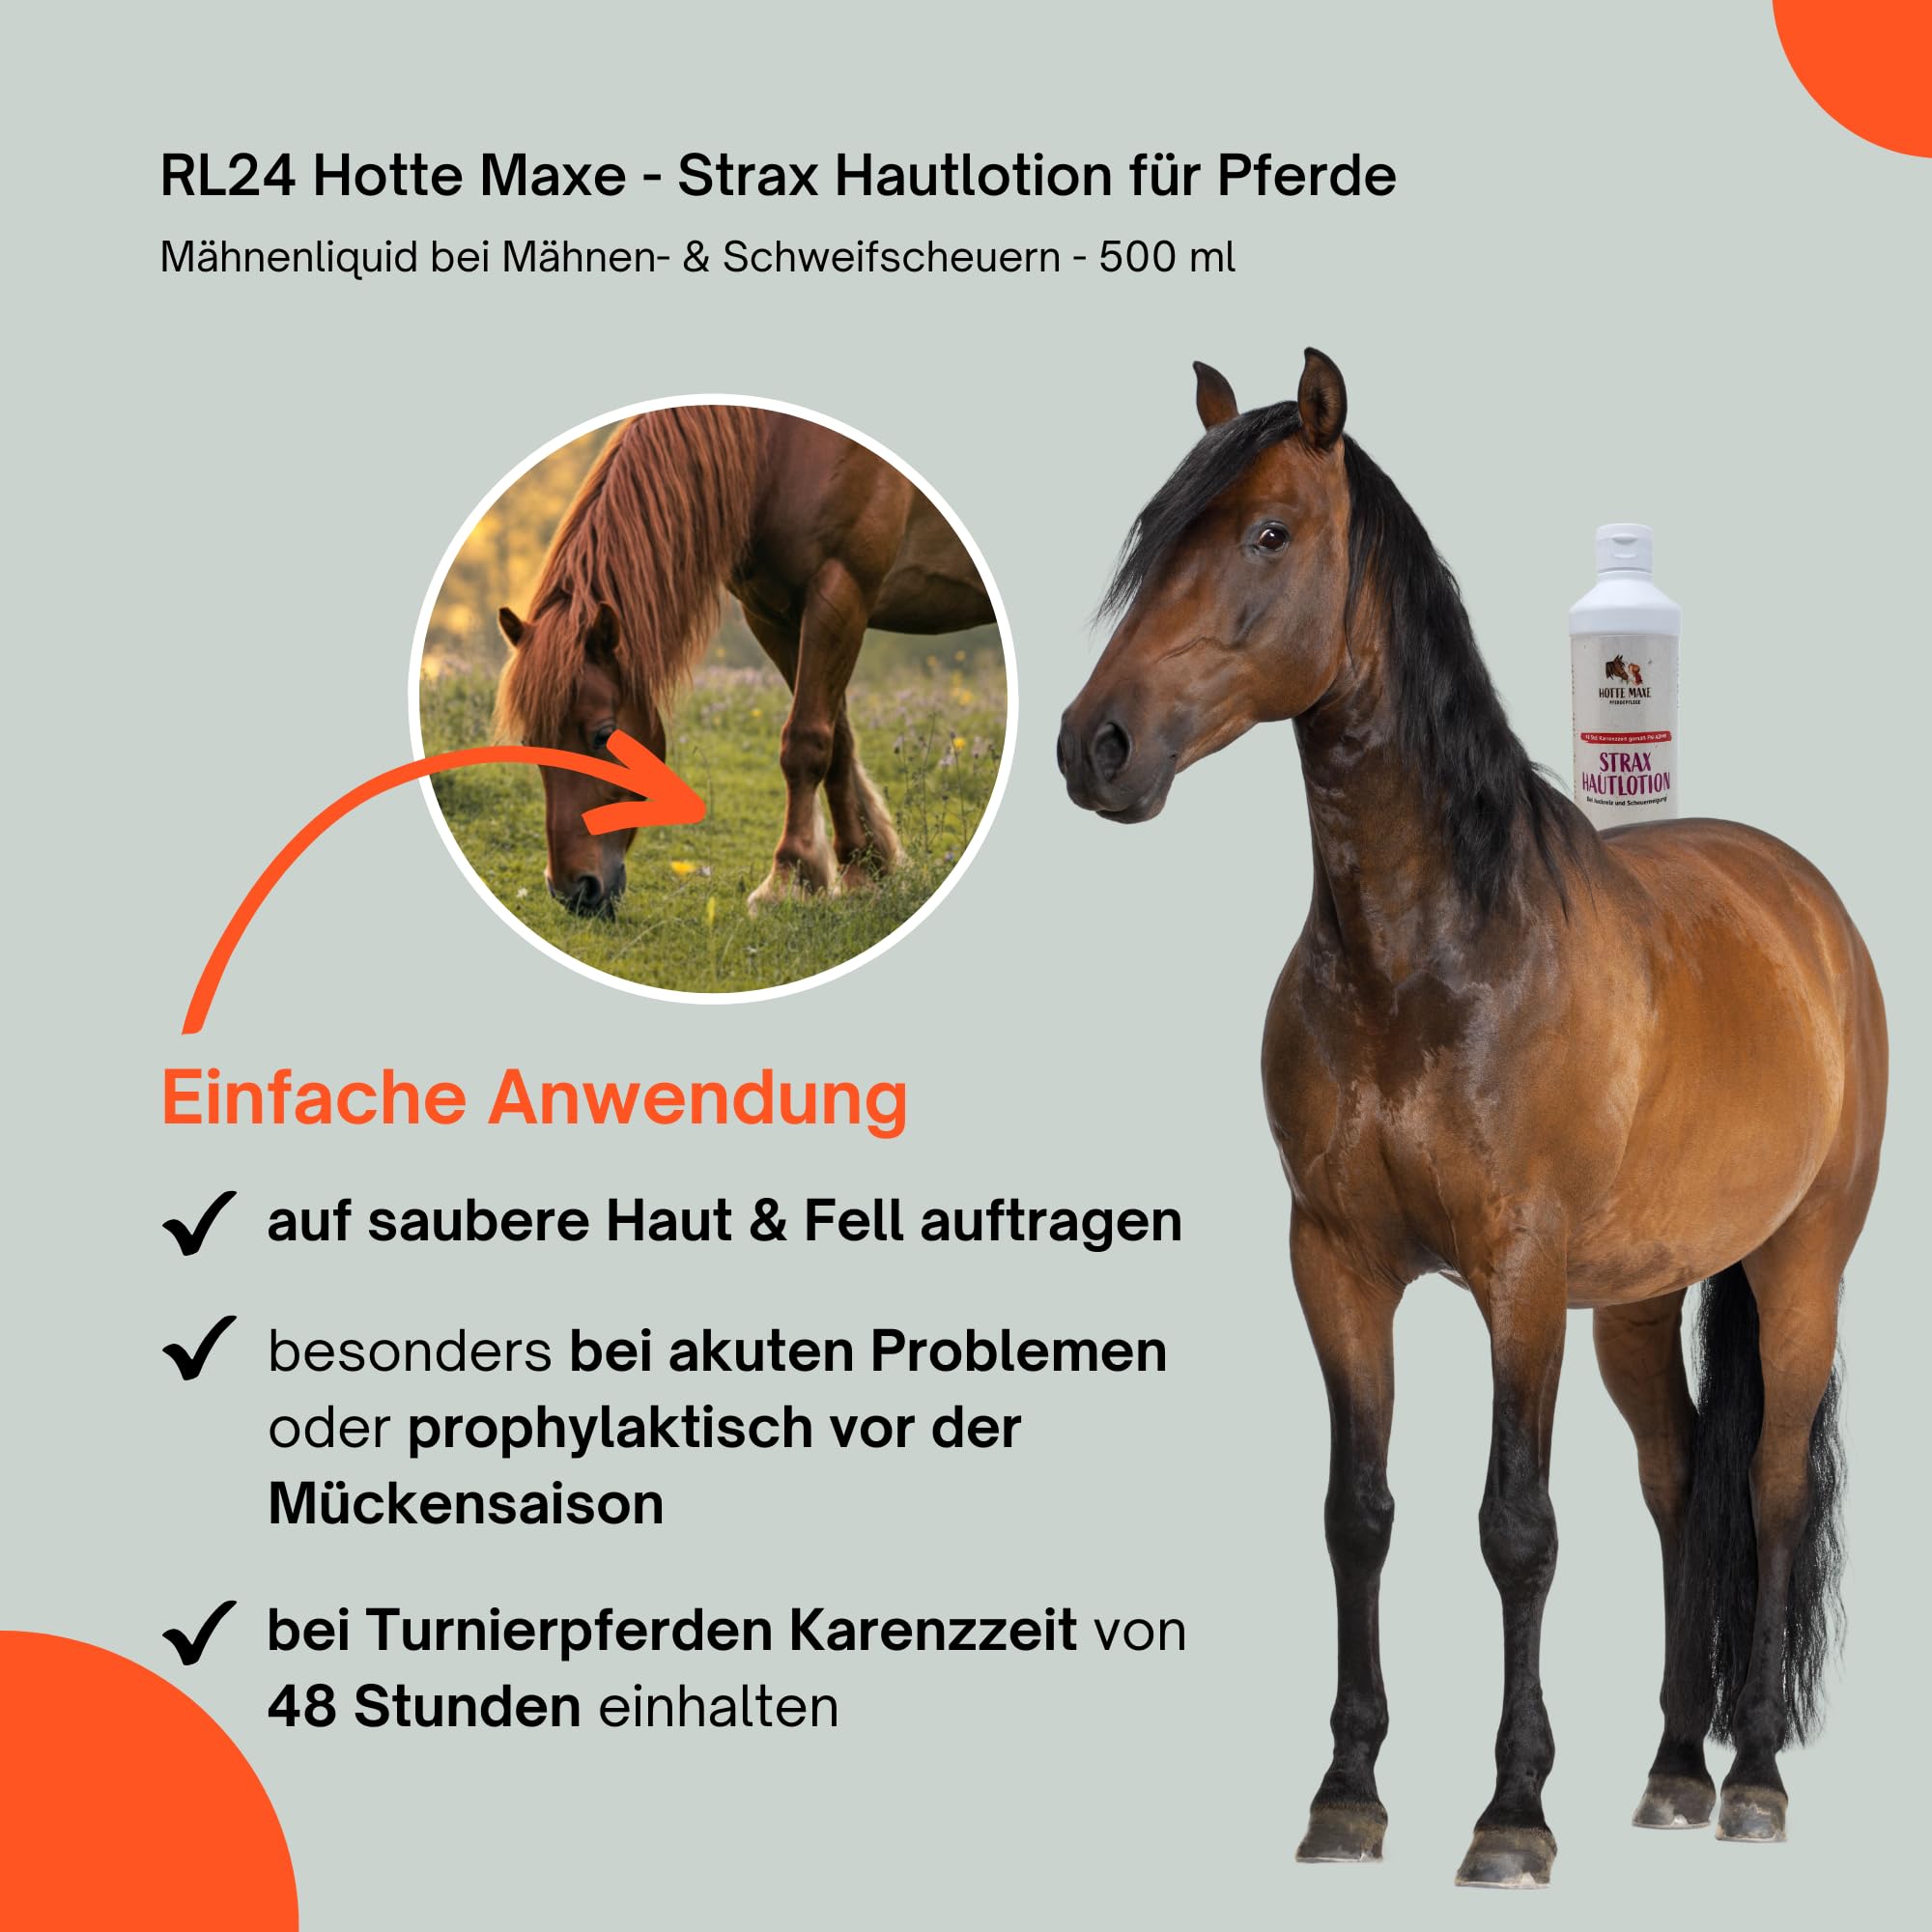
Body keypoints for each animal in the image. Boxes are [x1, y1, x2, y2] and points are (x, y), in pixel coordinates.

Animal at [494, 405, 995, 914]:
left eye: (602, 735)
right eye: (531, 740)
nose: (573, 889)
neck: (778, 451)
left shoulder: (839, 595)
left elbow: (806, 741)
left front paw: (789, 877)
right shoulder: (774, 616)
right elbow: (838, 741)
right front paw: (861, 871)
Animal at [1058, 352, 1886, 1887]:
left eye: (1267, 534)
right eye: (1152, 544)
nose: (1100, 746)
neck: (1433, 958)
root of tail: (1808, 909)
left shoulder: (1518, 1277)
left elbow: (1517, 1527)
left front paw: (1510, 1812)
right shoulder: (1334, 1263)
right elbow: (1357, 1512)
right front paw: (1346, 1792)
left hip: (1798, 1264)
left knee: (1766, 1487)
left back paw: (1750, 1778)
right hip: (1637, 1301)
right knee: (1679, 1481)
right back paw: (1669, 1770)